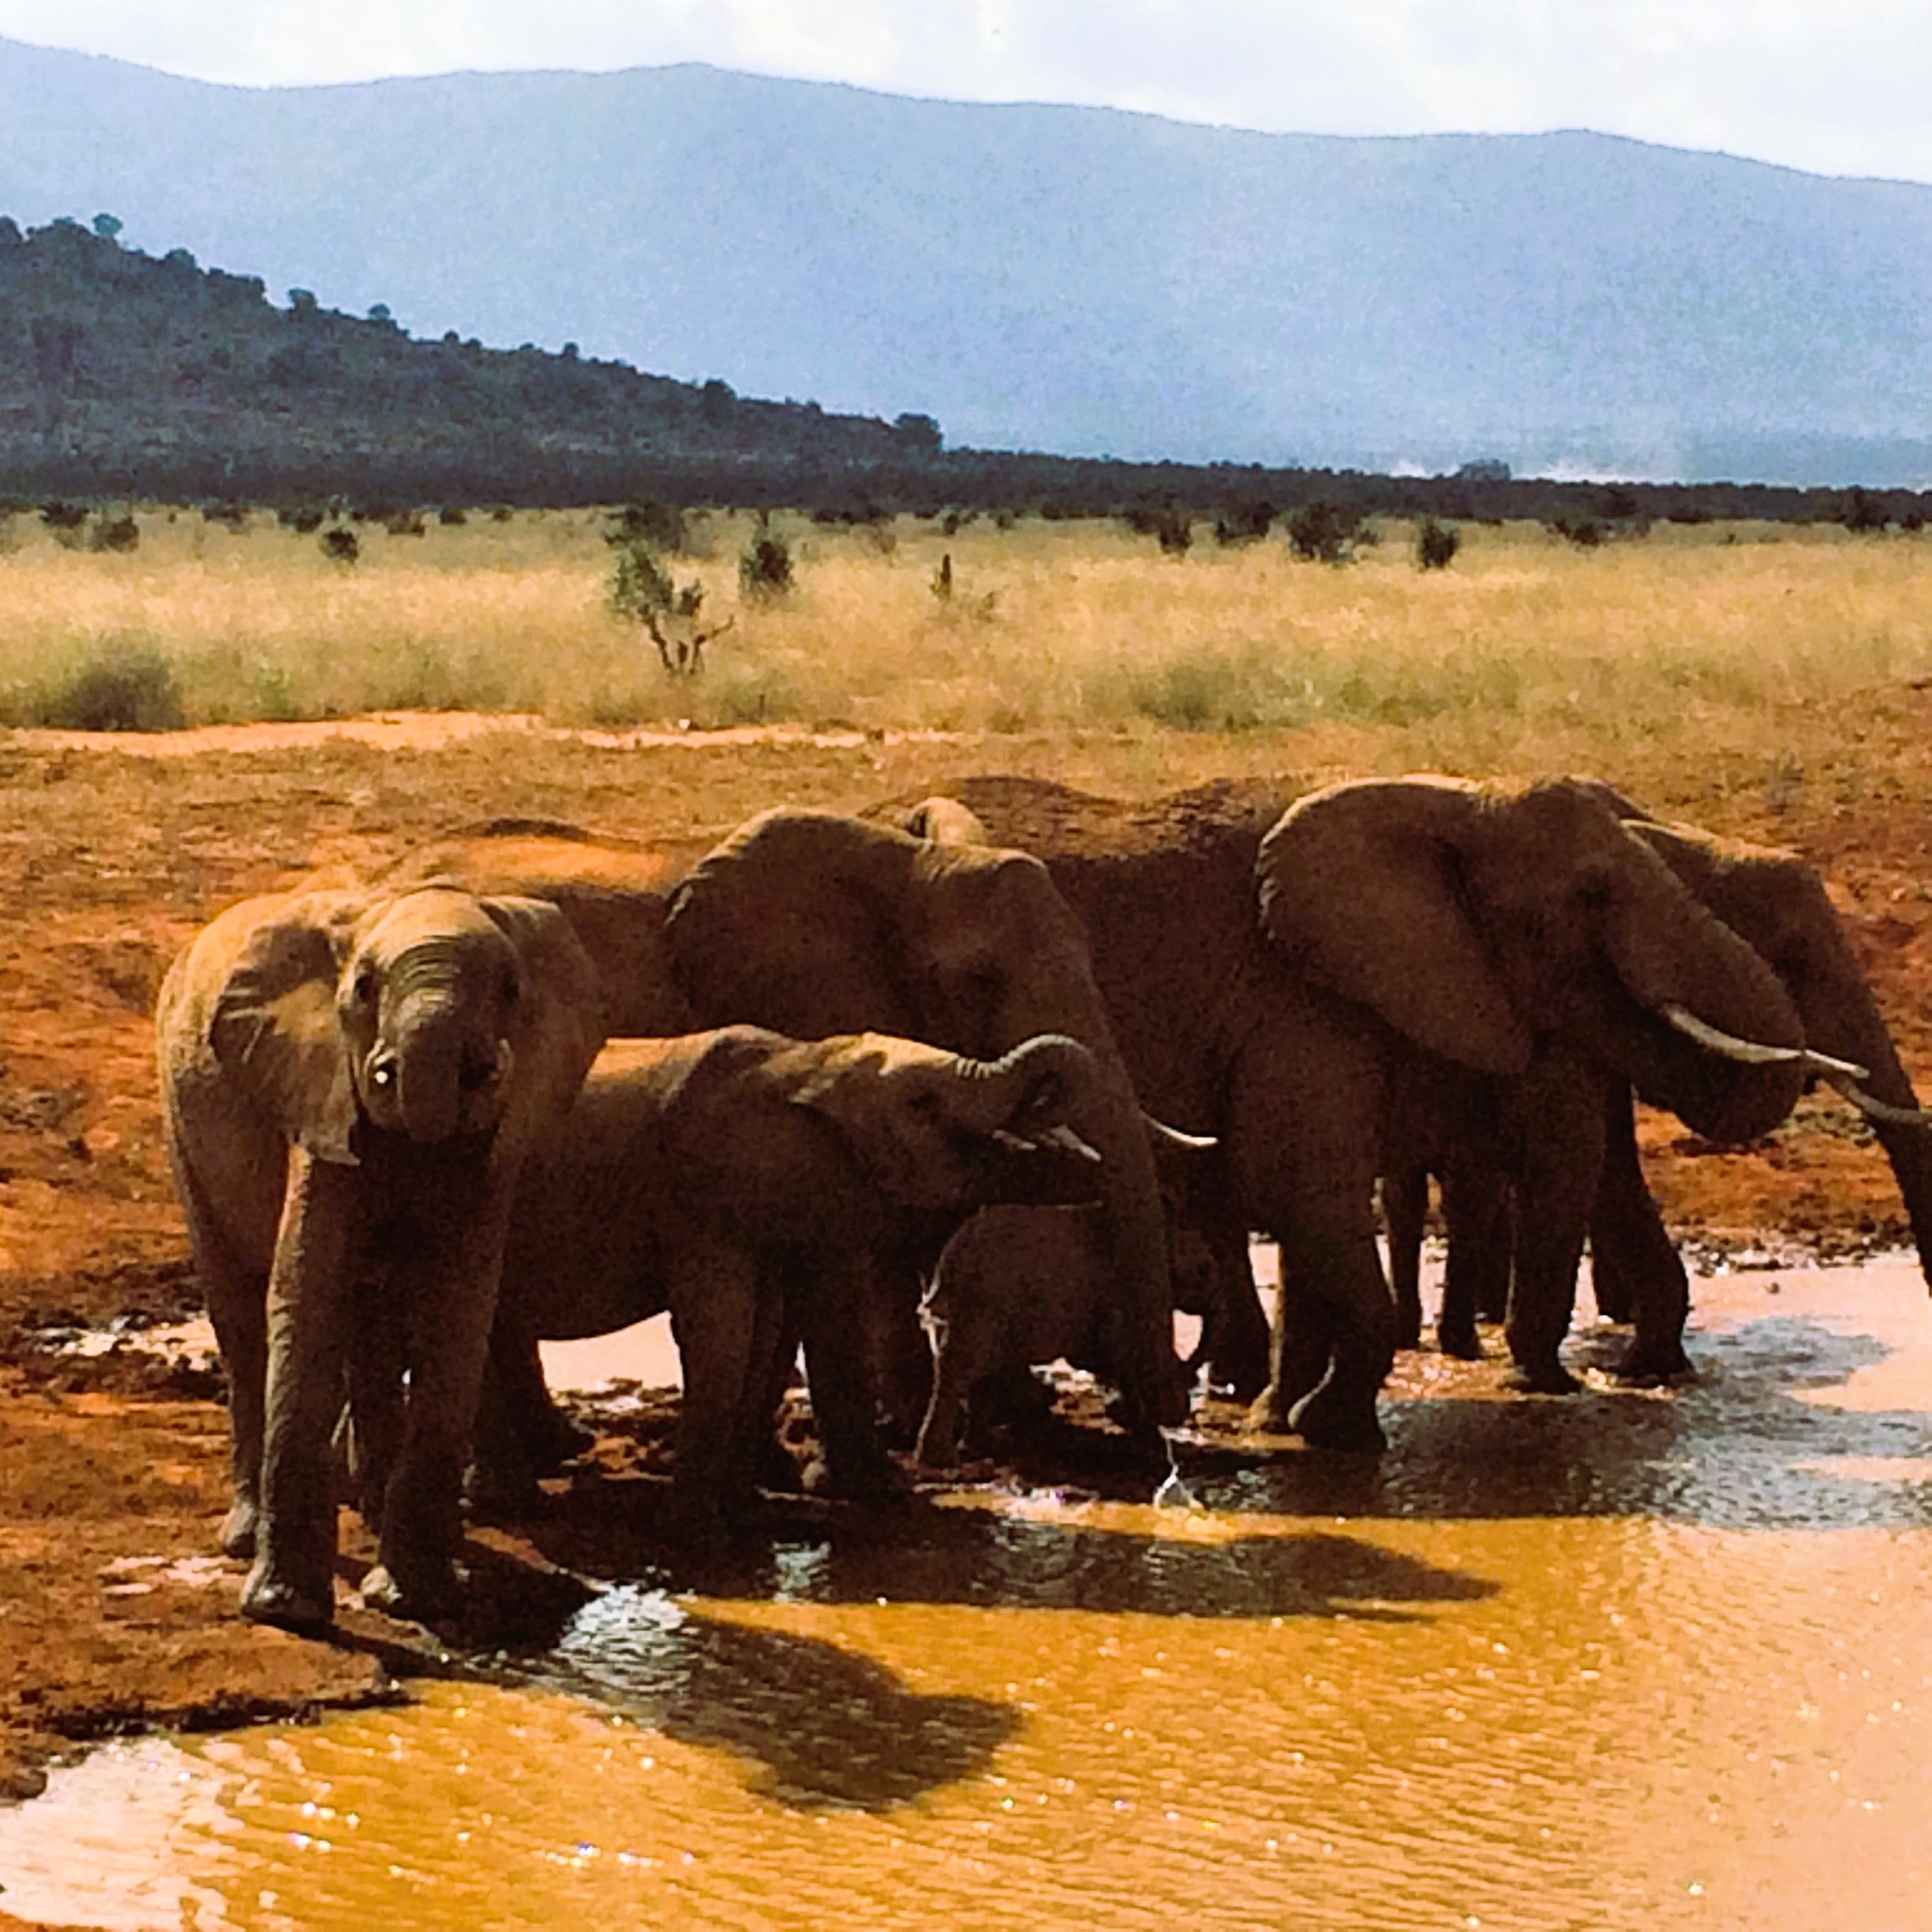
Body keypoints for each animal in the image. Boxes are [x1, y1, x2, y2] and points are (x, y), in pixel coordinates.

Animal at [156, 881, 604, 1631]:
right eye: (363, 989)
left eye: (512, 990)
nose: (470, 1076)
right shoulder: (320, 1091)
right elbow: (307, 1288)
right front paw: (288, 1613)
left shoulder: (495, 1143)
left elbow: (458, 1304)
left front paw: (419, 1600)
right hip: (179, 1116)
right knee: (240, 1314)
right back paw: (245, 1536)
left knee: (369, 1322)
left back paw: (367, 1506)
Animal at [480, 1027, 1111, 1522]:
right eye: (923, 1104)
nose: (1082, 1156)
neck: (809, 1060)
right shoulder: (701, 1192)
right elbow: (724, 1328)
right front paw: (698, 1527)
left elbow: (800, 1323)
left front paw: (849, 1493)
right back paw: (513, 1502)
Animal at [883, 773, 1832, 1450]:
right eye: (1593, 893)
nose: (1553, 1383)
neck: (1444, 801)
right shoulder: (1295, 1000)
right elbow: (1296, 1183)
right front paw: (1331, 1428)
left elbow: (1309, 1210)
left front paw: (1281, 1419)